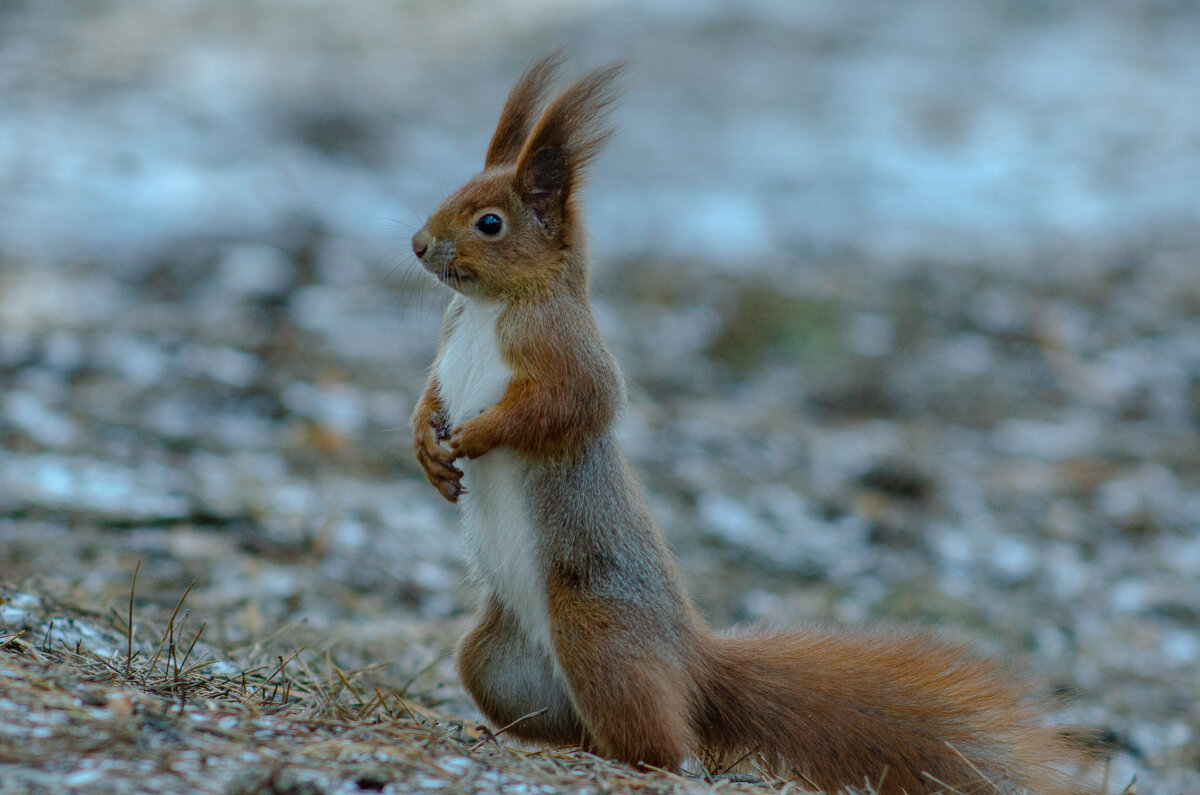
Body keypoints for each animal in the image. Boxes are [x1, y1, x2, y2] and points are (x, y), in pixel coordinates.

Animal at [408, 52, 1094, 792]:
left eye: (489, 223)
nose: (417, 244)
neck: (490, 308)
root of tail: (693, 664)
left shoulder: (568, 355)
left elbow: (567, 407)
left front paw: (475, 435)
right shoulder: (449, 345)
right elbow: (429, 395)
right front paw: (425, 445)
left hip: (599, 637)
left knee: (660, 741)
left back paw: (624, 759)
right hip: (496, 660)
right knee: (569, 718)